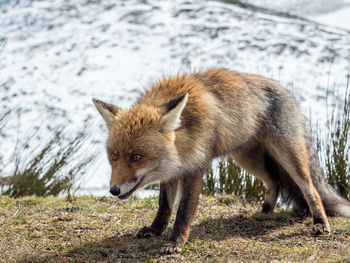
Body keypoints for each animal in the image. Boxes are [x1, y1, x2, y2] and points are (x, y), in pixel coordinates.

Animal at [92, 68, 350, 254]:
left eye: (136, 157)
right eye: (113, 156)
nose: (113, 190)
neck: (185, 132)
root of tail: (286, 91)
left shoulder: (195, 167)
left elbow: (183, 212)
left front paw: (175, 243)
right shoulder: (171, 171)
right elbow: (164, 206)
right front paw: (155, 230)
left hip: (289, 156)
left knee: (310, 189)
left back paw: (320, 223)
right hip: (247, 159)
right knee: (274, 182)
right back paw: (264, 212)